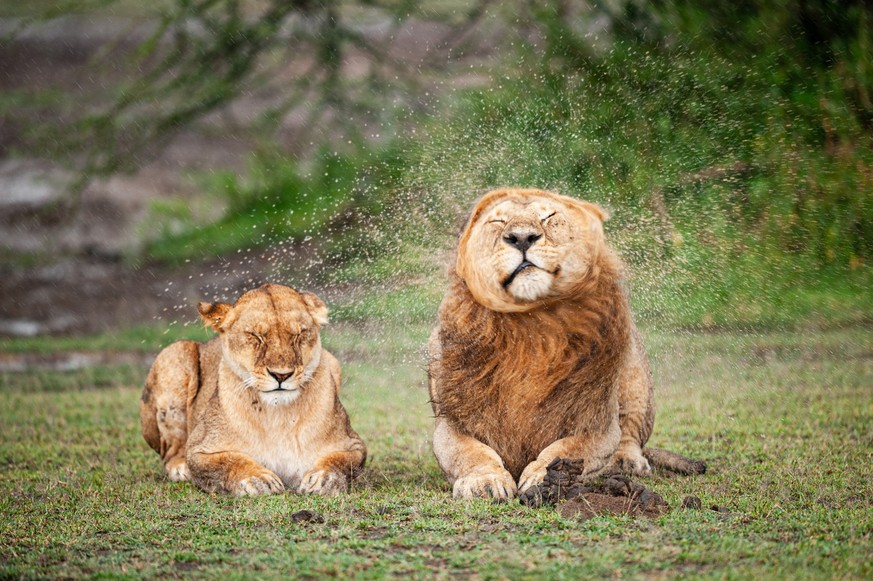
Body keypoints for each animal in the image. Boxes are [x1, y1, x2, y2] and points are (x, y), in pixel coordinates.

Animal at [140, 283, 366, 496]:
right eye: (256, 336)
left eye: (299, 334)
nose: (281, 375)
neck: (278, 416)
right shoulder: (199, 449)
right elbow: (229, 461)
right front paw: (258, 479)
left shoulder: (353, 444)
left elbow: (343, 461)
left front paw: (324, 478)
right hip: (174, 353)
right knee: (171, 451)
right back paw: (180, 468)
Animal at [428, 188, 704, 500]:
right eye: (497, 221)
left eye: (548, 217)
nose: (522, 237)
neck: (531, 331)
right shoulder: (451, 422)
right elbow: (471, 453)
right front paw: (485, 480)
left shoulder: (599, 423)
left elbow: (568, 448)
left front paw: (547, 478)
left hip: (635, 379)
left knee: (630, 433)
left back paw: (625, 462)